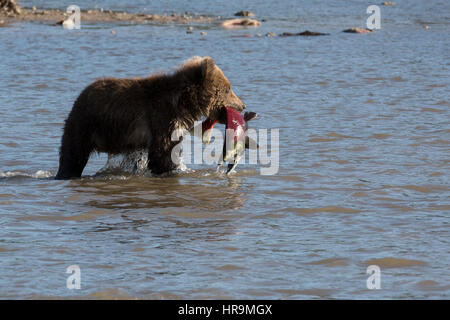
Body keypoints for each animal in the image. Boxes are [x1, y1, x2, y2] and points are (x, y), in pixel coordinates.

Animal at [56, 56, 248, 179]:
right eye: (228, 89)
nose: (243, 105)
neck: (183, 103)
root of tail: (81, 94)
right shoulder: (161, 118)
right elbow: (163, 153)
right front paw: (172, 170)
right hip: (86, 123)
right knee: (73, 153)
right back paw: (67, 173)